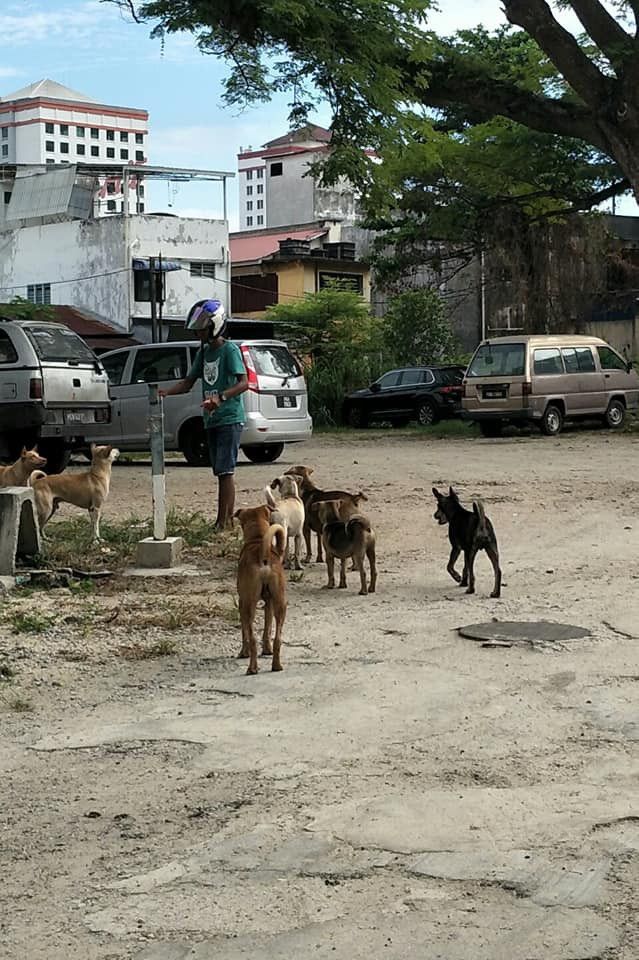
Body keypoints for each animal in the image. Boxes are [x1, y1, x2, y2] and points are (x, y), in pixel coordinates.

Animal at [235, 502, 288, 676]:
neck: (258, 539)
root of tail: (263, 554)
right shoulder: (269, 602)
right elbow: (267, 628)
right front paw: (267, 649)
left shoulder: (242, 601)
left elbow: (245, 632)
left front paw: (243, 652)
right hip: (280, 603)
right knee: (278, 638)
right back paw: (276, 665)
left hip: (248, 605)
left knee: (252, 638)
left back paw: (252, 667)